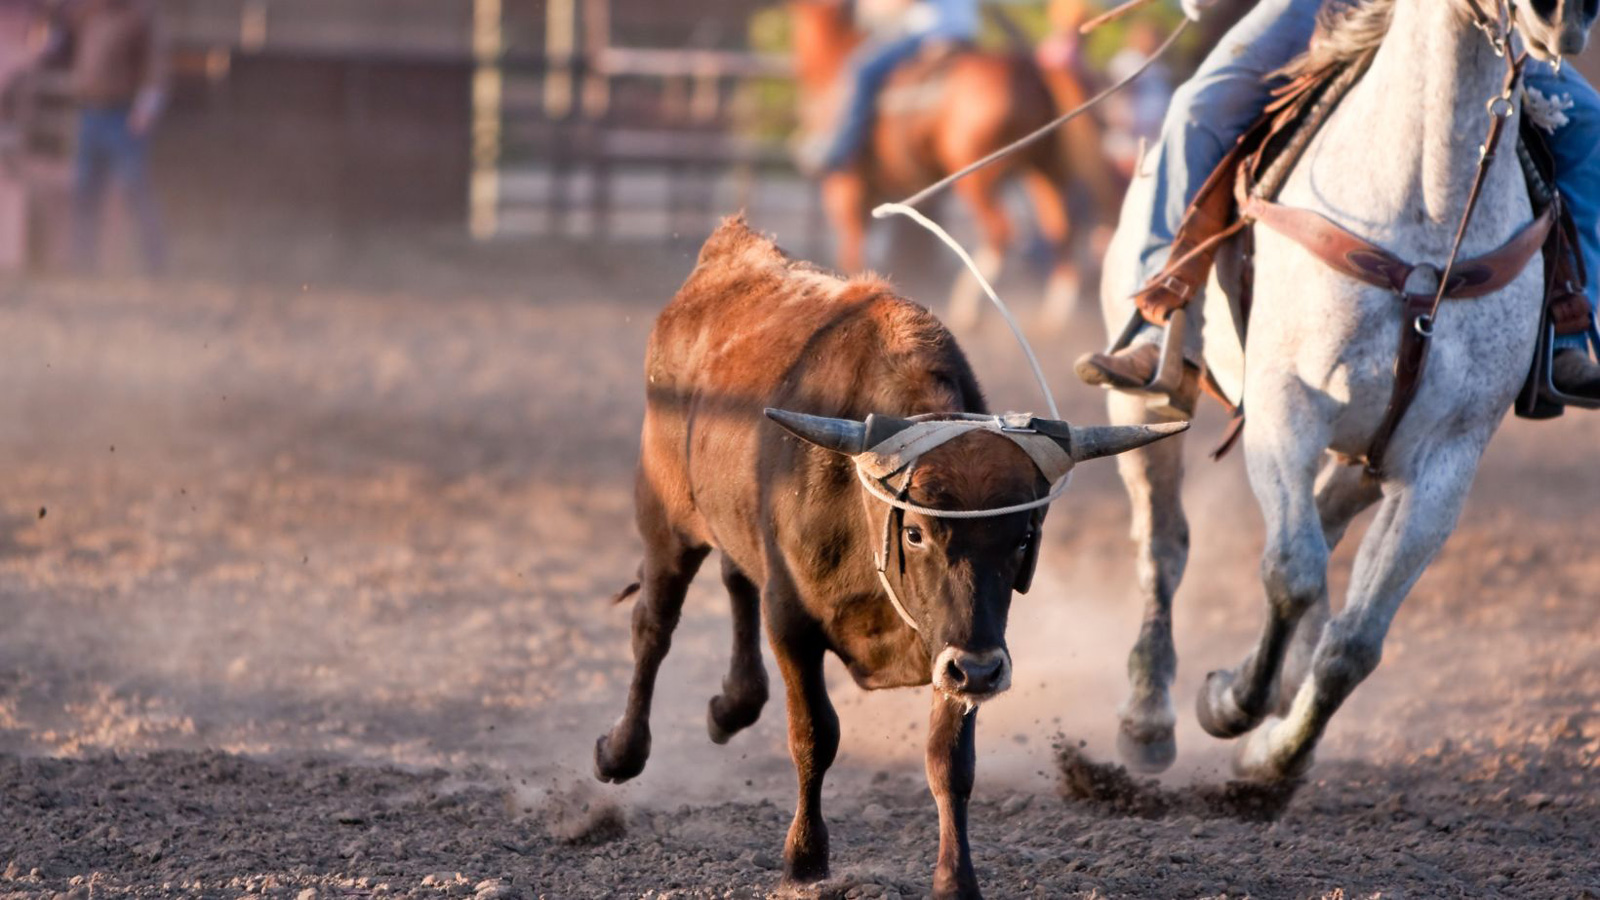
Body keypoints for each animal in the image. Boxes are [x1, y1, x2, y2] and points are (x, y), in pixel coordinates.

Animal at [793, 0, 1120, 329]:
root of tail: (1032, 69)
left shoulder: (847, 186)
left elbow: (852, 250)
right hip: (1044, 168)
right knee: (1060, 225)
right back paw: (1056, 313)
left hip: (979, 177)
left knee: (1002, 231)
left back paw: (969, 308)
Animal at [1094, 0, 1593, 778]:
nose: (1563, 17)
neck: (1427, 213)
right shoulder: (1286, 409)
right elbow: (1290, 573)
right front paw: (1232, 702)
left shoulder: (1447, 456)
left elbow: (1355, 643)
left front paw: (1274, 756)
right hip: (1142, 402)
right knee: (1164, 545)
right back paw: (1147, 718)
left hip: (1371, 456)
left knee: (1324, 524)